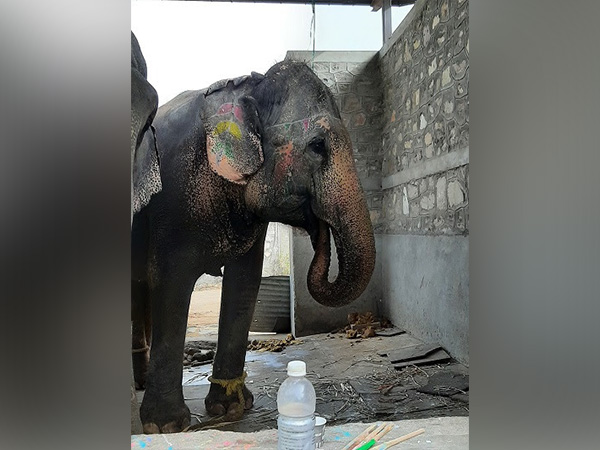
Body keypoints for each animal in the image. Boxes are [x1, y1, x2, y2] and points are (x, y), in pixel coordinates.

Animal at [131, 61, 376, 434]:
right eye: (317, 145)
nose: (318, 229)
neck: (247, 87)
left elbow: (245, 283)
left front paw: (232, 407)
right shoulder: (169, 202)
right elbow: (171, 285)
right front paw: (166, 426)